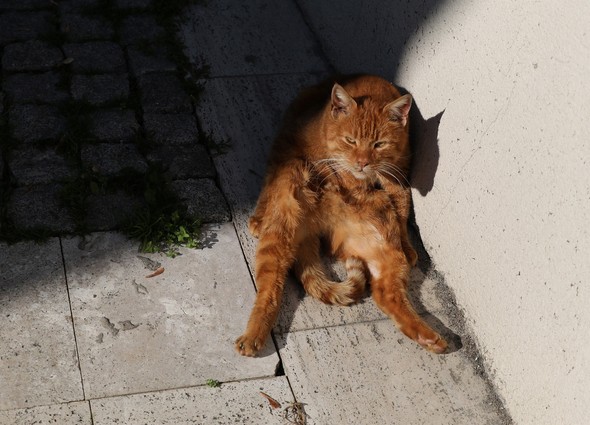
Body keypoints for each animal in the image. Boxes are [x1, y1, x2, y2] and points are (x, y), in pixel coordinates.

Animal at [236, 75, 448, 354]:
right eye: (351, 141)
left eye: (379, 144)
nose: (362, 163)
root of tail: (315, 228)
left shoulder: (398, 176)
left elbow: (403, 208)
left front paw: (409, 245)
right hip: (281, 220)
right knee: (270, 289)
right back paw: (253, 334)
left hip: (385, 250)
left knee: (386, 294)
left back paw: (429, 338)